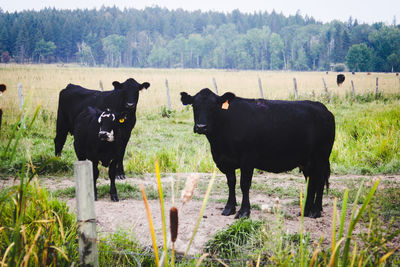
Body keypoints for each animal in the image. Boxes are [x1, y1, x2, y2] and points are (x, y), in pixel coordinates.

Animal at [180, 89, 334, 219]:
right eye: (194, 106)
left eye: (213, 107)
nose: (201, 127)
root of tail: (323, 108)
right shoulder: (225, 161)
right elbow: (231, 183)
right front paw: (229, 208)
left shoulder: (247, 159)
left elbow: (244, 184)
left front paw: (244, 212)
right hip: (308, 161)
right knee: (311, 182)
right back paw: (305, 211)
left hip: (321, 157)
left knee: (320, 181)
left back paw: (315, 211)